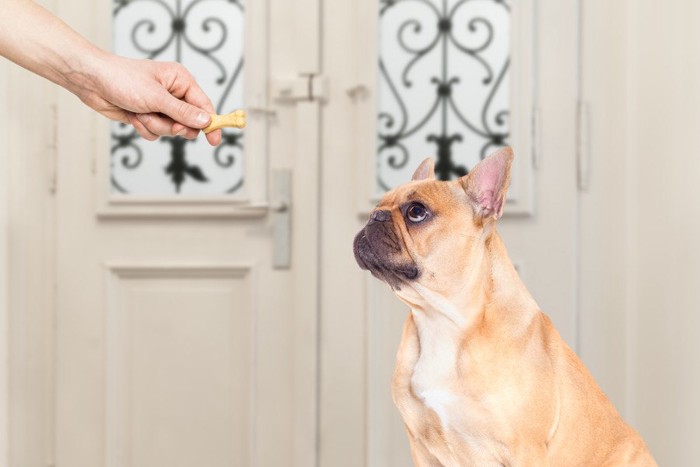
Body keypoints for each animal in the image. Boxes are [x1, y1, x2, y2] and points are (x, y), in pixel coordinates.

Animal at [356, 149, 656, 467]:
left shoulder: (524, 448)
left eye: (416, 212)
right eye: (378, 204)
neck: (444, 322)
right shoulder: (421, 448)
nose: (374, 215)